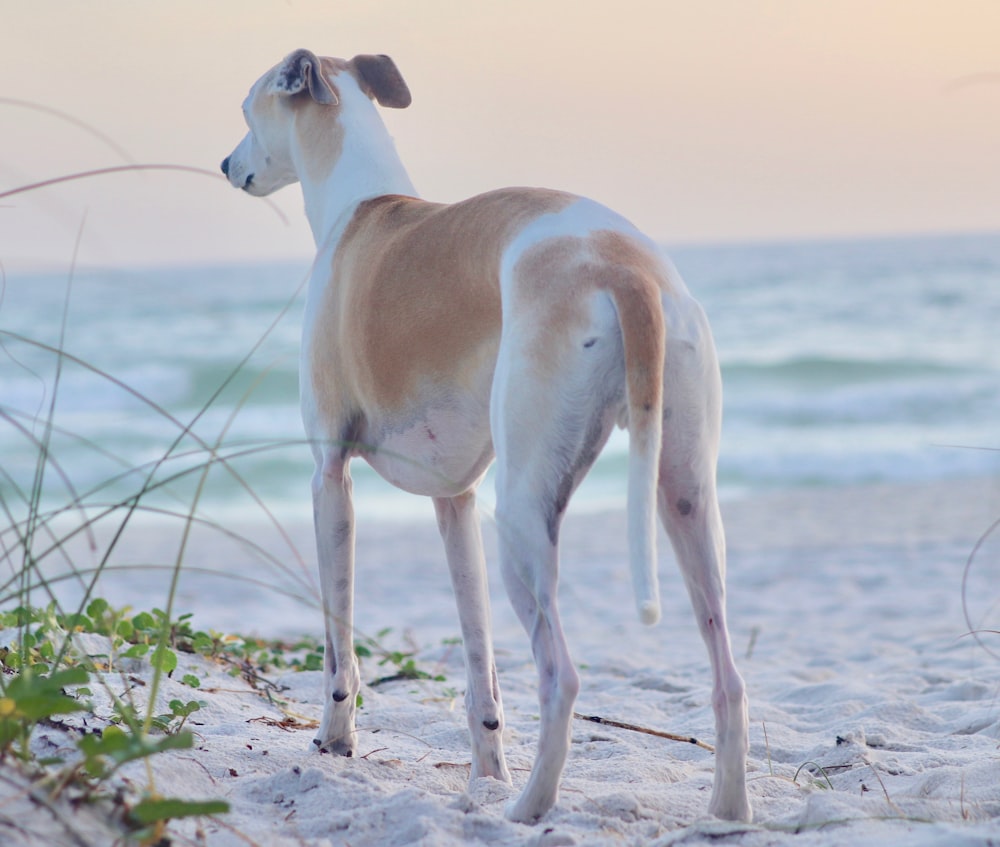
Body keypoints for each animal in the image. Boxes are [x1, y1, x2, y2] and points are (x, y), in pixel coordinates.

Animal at [221, 49, 752, 824]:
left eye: (247, 109)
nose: (227, 164)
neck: (361, 209)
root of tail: (619, 266)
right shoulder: (456, 500)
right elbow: (480, 667)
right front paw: (485, 771)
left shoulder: (330, 478)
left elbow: (338, 643)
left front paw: (336, 737)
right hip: (685, 495)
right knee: (729, 675)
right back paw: (727, 809)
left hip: (525, 513)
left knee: (562, 674)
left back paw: (528, 807)